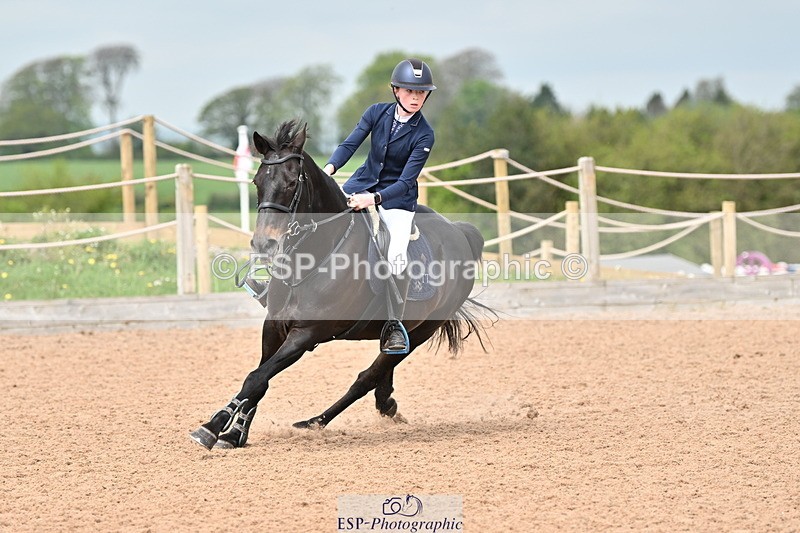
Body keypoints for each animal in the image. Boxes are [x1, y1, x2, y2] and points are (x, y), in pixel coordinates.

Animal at [190, 120, 492, 450]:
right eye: (257, 181)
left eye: (293, 182)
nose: (263, 244)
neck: (313, 258)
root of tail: (459, 231)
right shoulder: (273, 327)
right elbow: (260, 378)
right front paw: (235, 433)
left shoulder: (305, 334)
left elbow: (256, 378)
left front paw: (212, 427)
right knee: (383, 369)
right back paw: (384, 403)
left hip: (423, 329)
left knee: (367, 377)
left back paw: (315, 422)